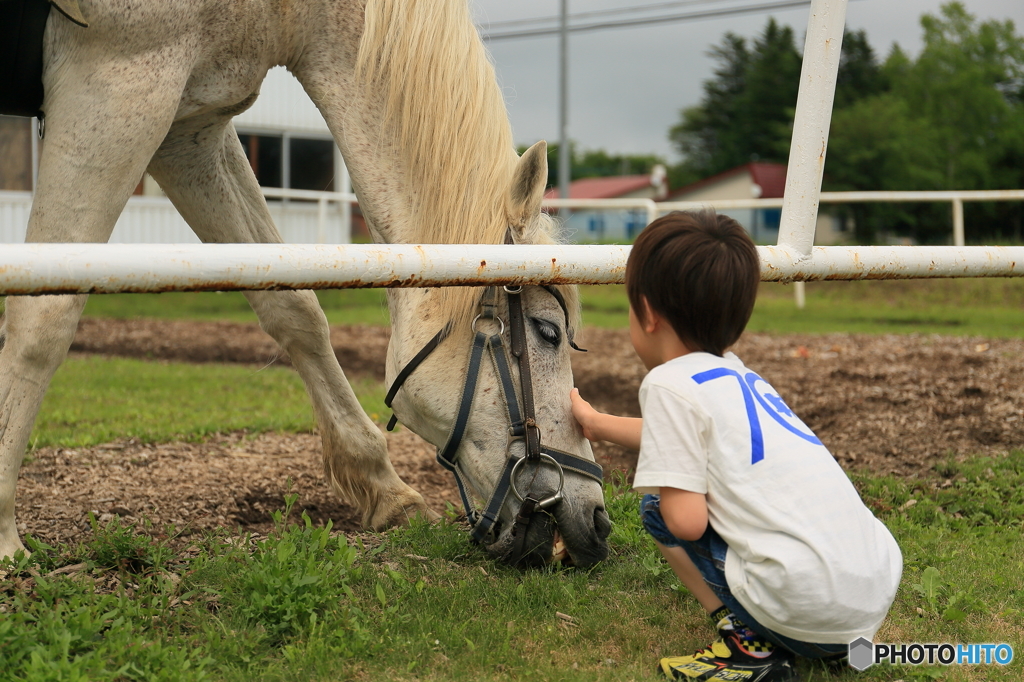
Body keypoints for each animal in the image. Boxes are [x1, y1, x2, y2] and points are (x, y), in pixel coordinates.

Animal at [0, 0, 606, 561]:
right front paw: (6, 537)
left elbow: (294, 308)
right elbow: (44, 316)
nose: (599, 521)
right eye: (548, 333)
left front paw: (386, 490)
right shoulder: (114, 82)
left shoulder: (188, 129)